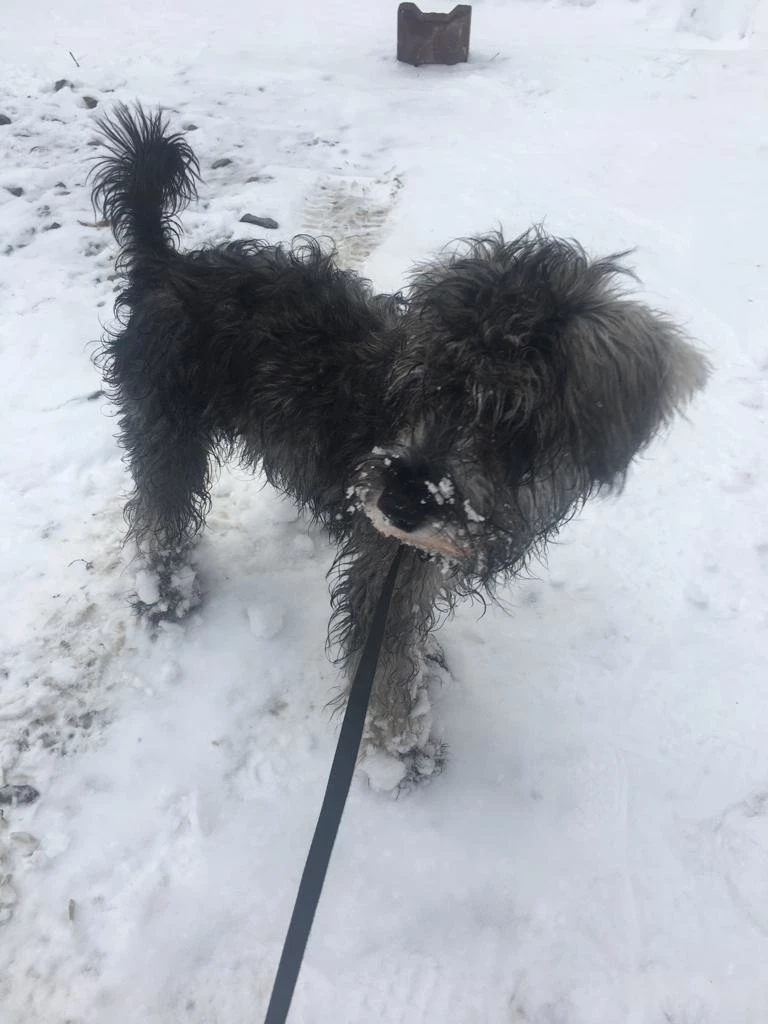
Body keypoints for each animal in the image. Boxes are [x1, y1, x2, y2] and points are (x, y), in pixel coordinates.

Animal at [91, 105, 708, 790]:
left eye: (511, 414)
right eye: (428, 381)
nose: (400, 504)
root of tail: (165, 266)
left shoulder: (414, 563)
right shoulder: (384, 568)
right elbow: (386, 669)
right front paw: (402, 752)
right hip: (165, 431)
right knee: (158, 514)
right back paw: (165, 593)